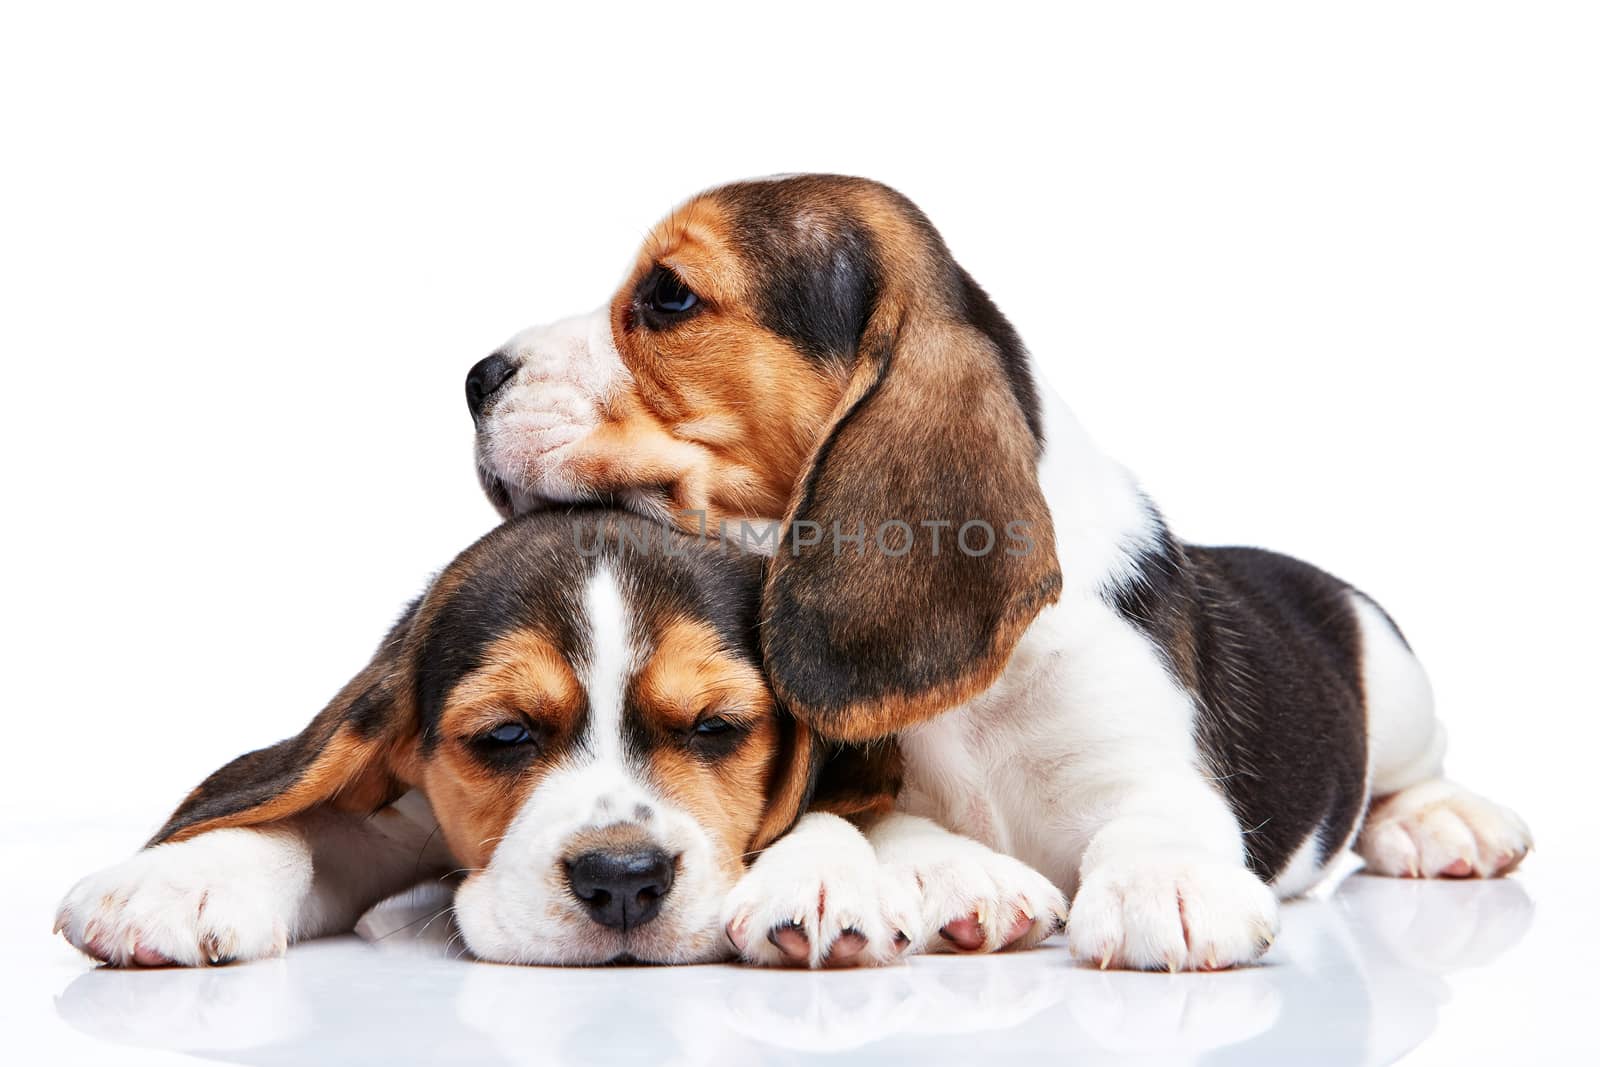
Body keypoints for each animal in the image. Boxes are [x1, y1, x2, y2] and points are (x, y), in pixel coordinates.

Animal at [59, 511, 1062, 972]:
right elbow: (310, 822)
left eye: (716, 727)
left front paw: (821, 875)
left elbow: (829, 806)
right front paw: (187, 879)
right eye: (505, 732)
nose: (622, 881)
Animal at [467, 173, 1536, 966]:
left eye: (669, 295)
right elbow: (877, 823)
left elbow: (1156, 817)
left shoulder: (1150, 763)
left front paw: (1163, 885)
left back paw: (1445, 823)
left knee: (1414, 769)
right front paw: (935, 874)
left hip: (1392, 671)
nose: (475, 377)